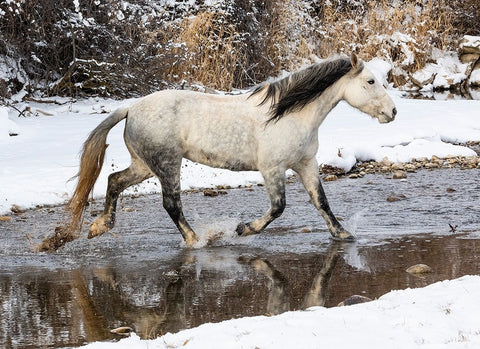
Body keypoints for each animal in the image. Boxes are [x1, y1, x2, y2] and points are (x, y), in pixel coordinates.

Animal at [41, 52, 396, 250]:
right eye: (370, 81)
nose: (392, 113)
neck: (289, 114)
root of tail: (130, 108)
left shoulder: (305, 163)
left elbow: (321, 202)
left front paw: (343, 234)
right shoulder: (272, 168)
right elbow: (278, 208)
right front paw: (242, 229)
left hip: (144, 164)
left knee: (114, 180)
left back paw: (99, 227)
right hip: (167, 164)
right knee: (171, 204)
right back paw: (197, 241)